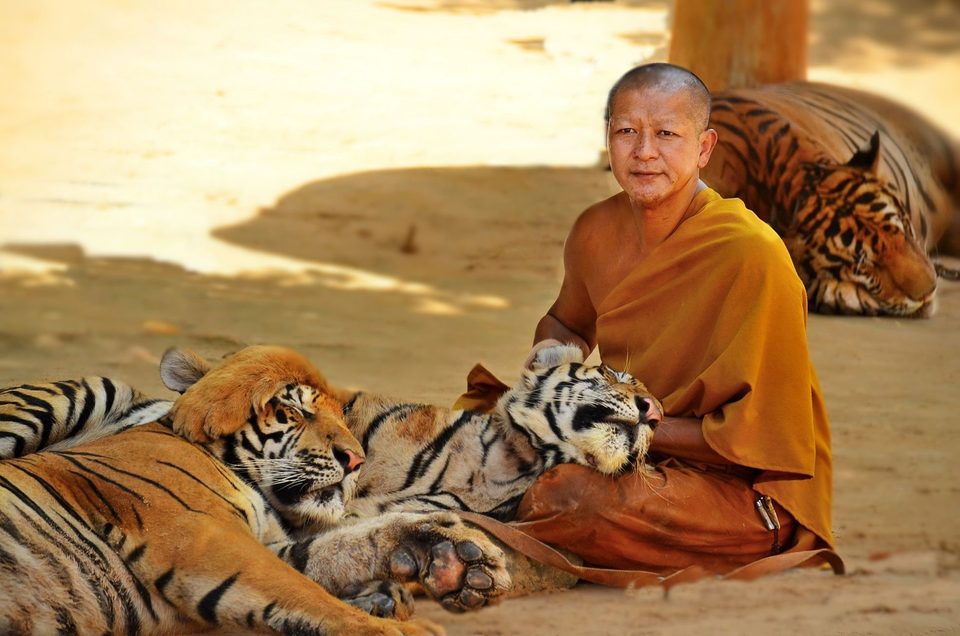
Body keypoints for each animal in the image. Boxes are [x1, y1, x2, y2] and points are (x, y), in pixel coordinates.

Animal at [0, 345, 512, 635]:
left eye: (345, 418)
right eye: (297, 411)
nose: (356, 460)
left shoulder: (261, 540)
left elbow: (330, 553)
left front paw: (453, 554)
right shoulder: (200, 534)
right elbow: (304, 592)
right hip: (88, 391)